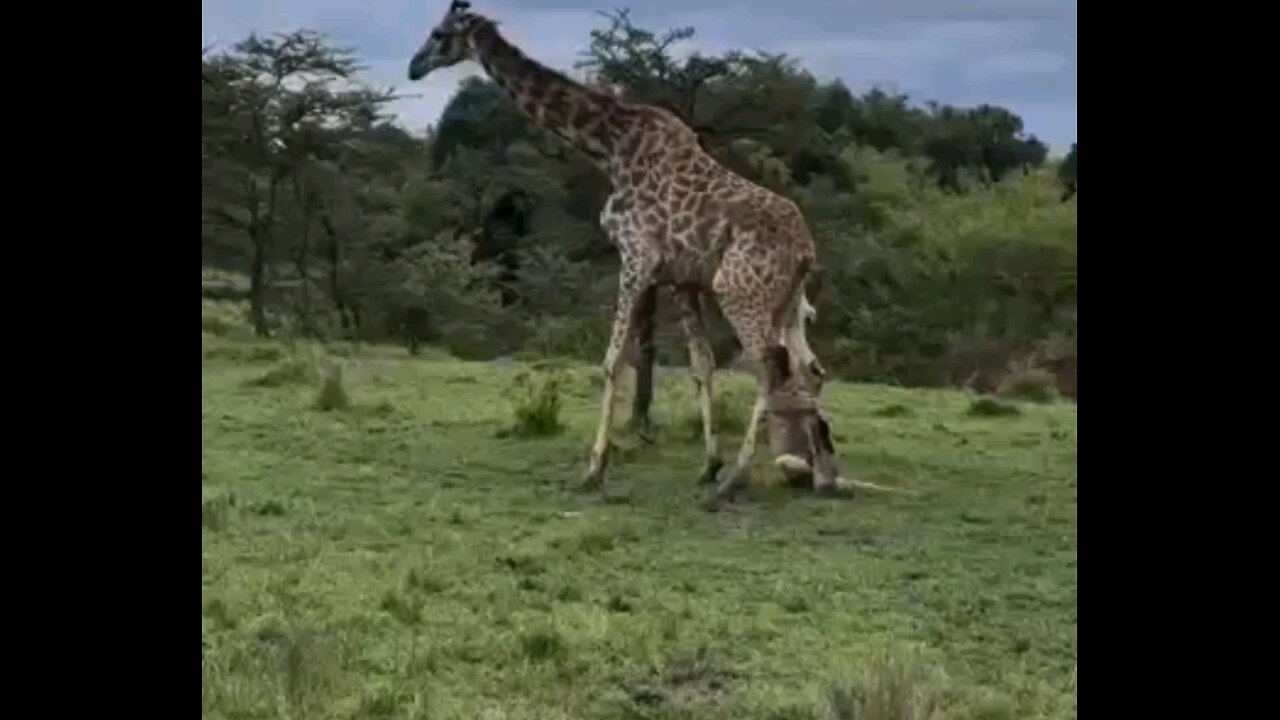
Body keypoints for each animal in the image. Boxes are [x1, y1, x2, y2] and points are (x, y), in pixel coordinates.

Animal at [409, 1, 844, 504]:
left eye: (439, 34)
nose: (414, 66)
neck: (610, 147)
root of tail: (807, 250)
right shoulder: (678, 279)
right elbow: (701, 365)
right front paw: (707, 464)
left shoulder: (637, 259)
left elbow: (614, 360)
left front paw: (595, 469)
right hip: (788, 302)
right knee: (809, 368)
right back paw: (821, 477)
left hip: (739, 291)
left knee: (769, 367)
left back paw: (735, 482)